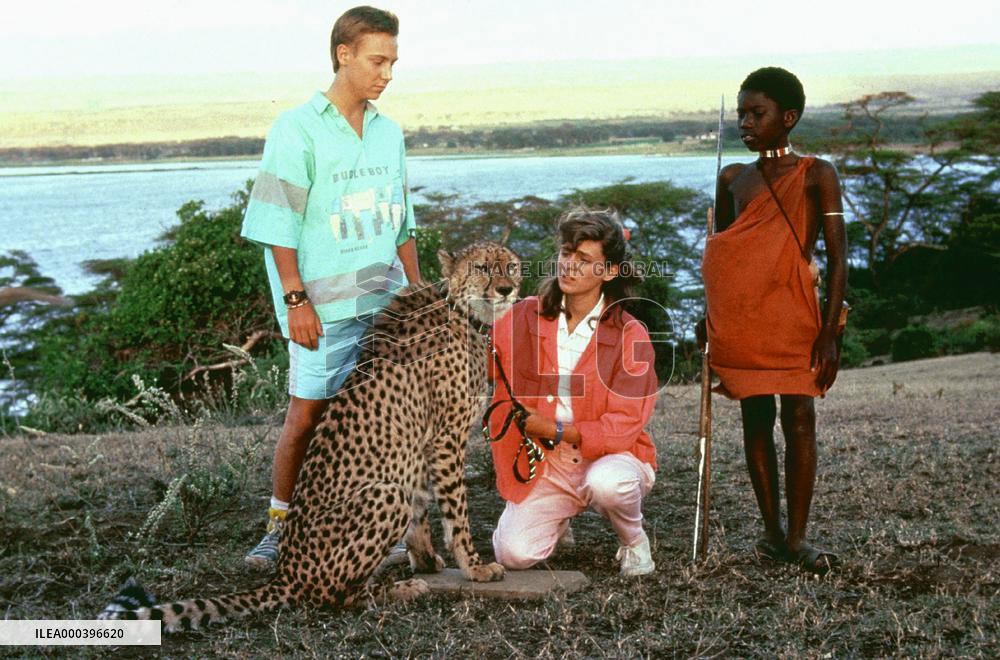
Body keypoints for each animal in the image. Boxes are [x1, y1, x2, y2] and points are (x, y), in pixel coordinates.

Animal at [98, 241, 522, 632]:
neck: (460, 311)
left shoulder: (420, 449)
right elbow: (456, 513)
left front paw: (427, 561)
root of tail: (285, 573)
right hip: (384, 495)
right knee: (331, 596)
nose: (506, 289)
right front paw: (475, 568)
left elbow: (422, 512)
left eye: (511, 266)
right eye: (482, 268)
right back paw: (398, 590)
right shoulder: (447, 439)